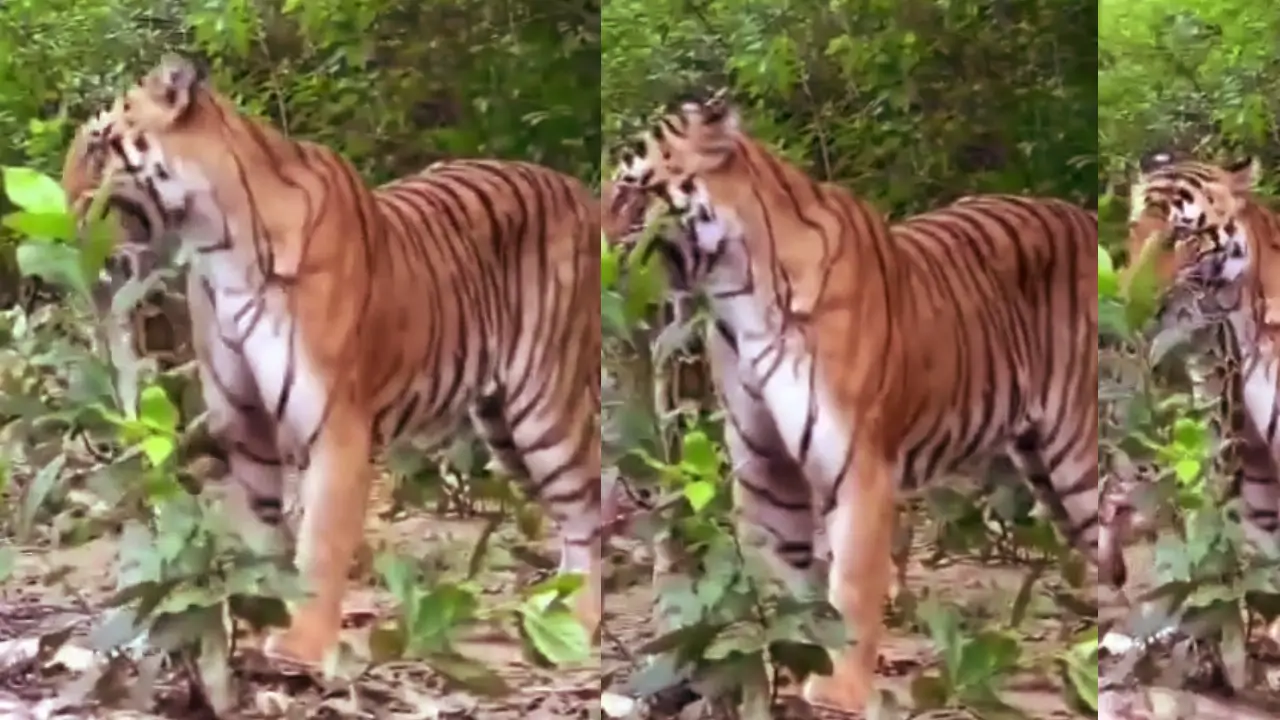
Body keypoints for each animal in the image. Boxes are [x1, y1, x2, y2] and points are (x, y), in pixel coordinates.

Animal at [59, 55, 604, 667]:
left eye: (98, 144)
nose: (58, 204)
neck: (216, 245)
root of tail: (576, 188)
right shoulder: (243, 421)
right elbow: (261, 531)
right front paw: (257, 614)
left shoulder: (337, 423)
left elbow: (319, 542)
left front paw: (300, 644)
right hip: (501, 423)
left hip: (545, 405)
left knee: (586, 509)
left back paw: (580, 620)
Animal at [604, 94, 1102, 711]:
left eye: (628, 189)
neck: (736, 292)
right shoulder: (766, 469)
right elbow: (781, 583)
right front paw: (780, 666)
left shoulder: (859, 464)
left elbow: (853, 585)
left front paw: (837, 689)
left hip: (1075, 455)